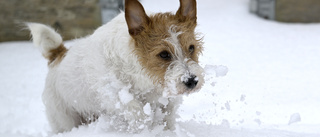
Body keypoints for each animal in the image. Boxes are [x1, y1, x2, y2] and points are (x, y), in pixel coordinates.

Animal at [27, 0, 204, 133]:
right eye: (164, 54)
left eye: (191, 48)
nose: (191, 81)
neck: (143, 76)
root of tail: (58, 54)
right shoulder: (116, 95)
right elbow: (138, 114)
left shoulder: (167, 99)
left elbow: (167, 116)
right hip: (64, 120)